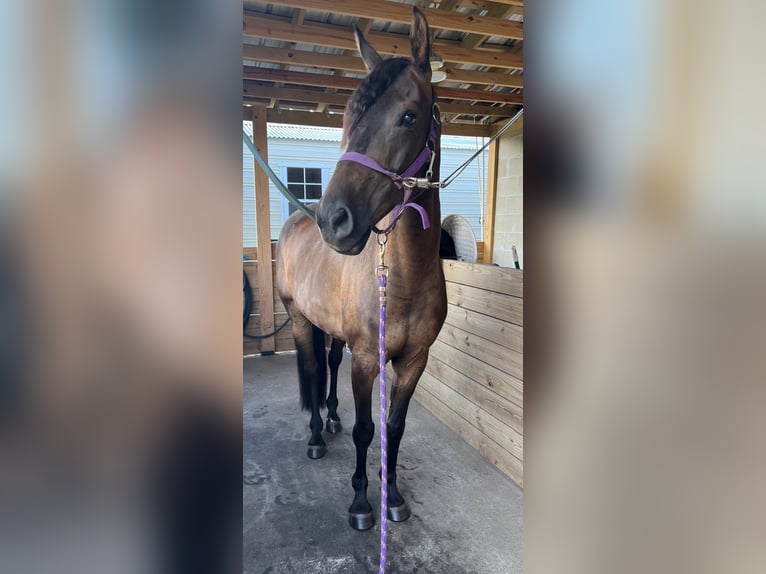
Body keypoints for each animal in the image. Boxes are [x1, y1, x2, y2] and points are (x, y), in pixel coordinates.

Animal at [275, 7, 447, 531]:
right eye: (350, 118)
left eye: (408, 116)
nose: (334, 220)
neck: (403, 280)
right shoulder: (368, 359)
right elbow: (366, 429)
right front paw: (360, 501)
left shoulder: (413, 361)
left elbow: (395, 427)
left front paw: (393, 497)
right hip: (298, 319)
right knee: (313, 367)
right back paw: (316, 435)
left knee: (329, 363)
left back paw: (330, 417)